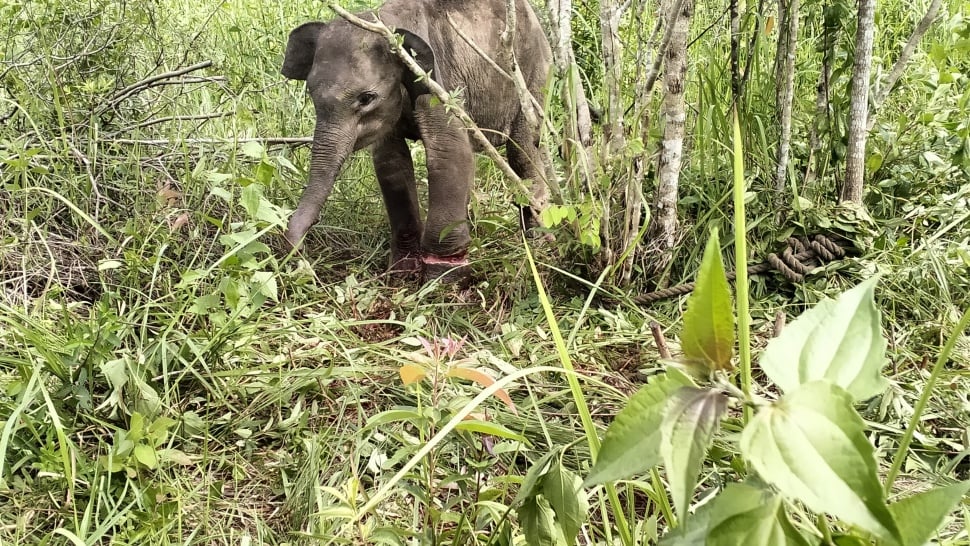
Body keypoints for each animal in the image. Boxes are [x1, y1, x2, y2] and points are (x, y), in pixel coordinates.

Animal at [284, 0, 548, 280]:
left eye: (366, 98)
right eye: (311, 94)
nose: (303, 261)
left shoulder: (437, 82)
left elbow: (448, 151)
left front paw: (441, 280)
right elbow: (391, 163)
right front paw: (401, 273)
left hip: (533, 76)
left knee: (523, 149)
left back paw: (537, 241)